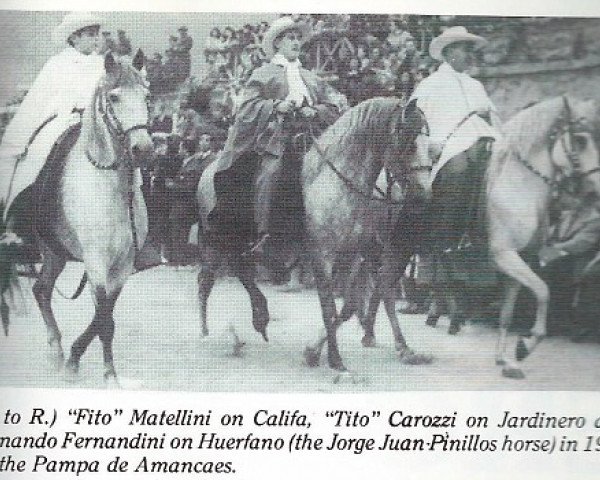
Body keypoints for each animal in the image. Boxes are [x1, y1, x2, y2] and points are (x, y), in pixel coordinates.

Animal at [1, 51, 155, 386]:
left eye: (147, 96)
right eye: (114, 97)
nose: (143, 149)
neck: (110, 189)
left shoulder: (122, 266)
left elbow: (104, 316)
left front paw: (79, 361)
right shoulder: (96, 262)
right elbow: (103, 319)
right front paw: (102, 373)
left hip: (54, 254)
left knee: (41, 291)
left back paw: (56, 351)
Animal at [197, 94, 432, 372]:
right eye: (409, 140)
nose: (424, 193)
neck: (337, 185)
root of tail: (207, 170)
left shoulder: (353, 256)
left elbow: (349, 306)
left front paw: (315, 351)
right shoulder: (323, 256)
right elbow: (329, 308)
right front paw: (334, 358)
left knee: (241, 271)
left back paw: (259, 317)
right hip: (216, 241)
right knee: (207, 281)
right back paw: (208, 332)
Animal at [488, 94, 600, 378]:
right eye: (580, 140)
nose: (597, 190)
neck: (519, 189)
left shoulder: (519, 260)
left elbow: (507, 312)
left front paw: (506, 359)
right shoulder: (504, 256)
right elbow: (543, 291)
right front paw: (525, 345)